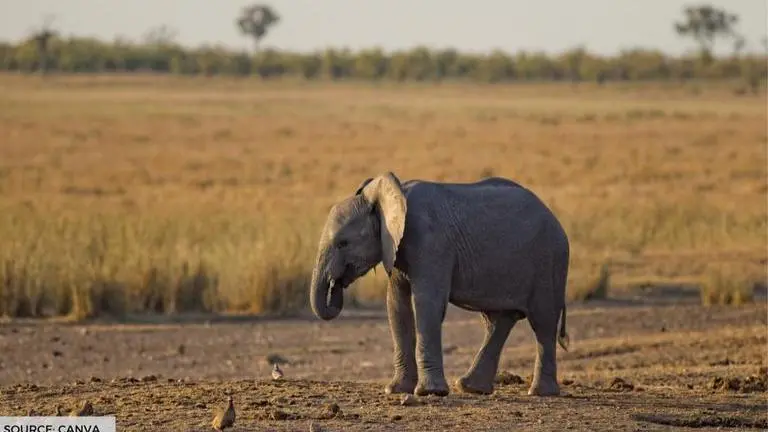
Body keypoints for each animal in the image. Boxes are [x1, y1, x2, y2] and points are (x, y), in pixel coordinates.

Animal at [308, 172, 570, 397]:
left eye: (343, 243)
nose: (336, 286)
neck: (388, 195)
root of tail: (557, 221)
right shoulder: (396, 247)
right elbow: (397, 305)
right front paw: (395, 390)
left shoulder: (430, 241)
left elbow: (427, 304)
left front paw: (429, 392)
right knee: (498, 321)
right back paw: (470, 387)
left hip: (550, 262)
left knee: (543, 322)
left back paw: (540, 393)